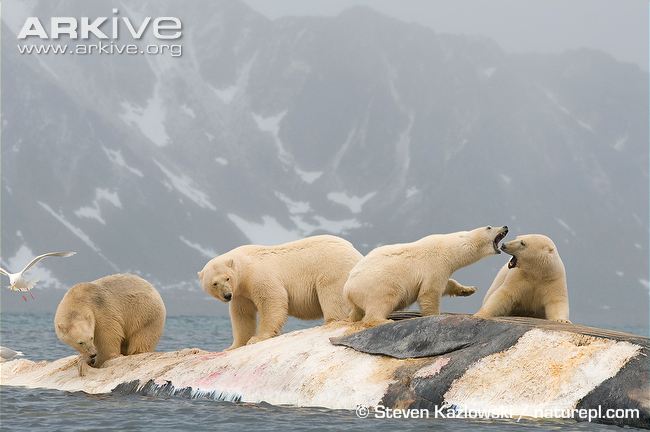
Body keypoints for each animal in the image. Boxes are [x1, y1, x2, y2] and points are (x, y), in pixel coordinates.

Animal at [198, 235, 363, 350]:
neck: (244, 267)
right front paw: (234, 346)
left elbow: (271, 300)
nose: (227, 295)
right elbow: (242, 315)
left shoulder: (258, 275)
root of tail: (357, 254)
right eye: (214, 283)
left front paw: (257, 338)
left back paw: (331, 321)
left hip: (333, 269)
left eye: (227, 278)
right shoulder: (240, 293)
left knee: (332, 295)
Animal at [344, 225, 509, 325]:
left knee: (357, 310)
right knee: (383, 300)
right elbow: (429, 292)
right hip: (379, 284)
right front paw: (434, 315)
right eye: (489, 227)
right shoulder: (435, 265)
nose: (505, 226)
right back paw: (384, 321)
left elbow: (447, 284)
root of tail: (347, 289)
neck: (448, 248)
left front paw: (468, 289)